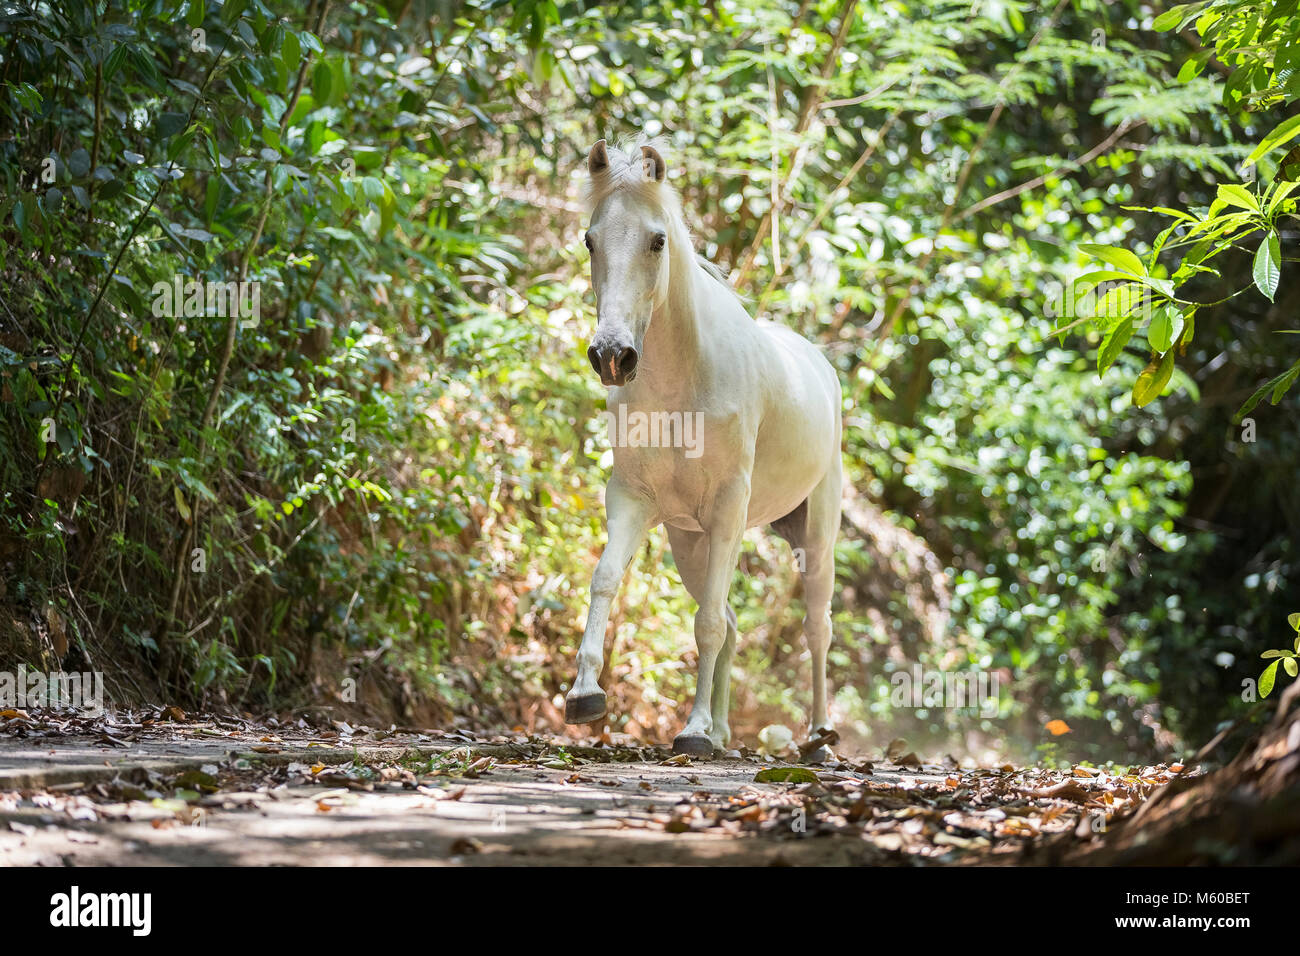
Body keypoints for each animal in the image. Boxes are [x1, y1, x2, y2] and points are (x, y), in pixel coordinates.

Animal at [566, 136, 847, 764]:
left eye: (657, 240)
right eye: (590, 239)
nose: (612, 356)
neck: (682, 386)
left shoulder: (727, 510)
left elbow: (708, 625)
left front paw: (691, 730)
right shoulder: (633, 501)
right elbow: (604, 579)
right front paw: (585, 694)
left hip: (814, 535)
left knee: (815, 628)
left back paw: (818, 736)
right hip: (688, 542)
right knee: (733, 620)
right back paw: (722, 732)